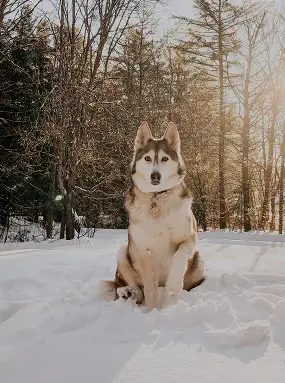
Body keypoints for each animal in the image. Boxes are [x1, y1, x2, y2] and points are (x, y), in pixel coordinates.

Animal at [98, 121, 203, 310]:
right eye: (147, 158)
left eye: (164, 159)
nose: (155, 175)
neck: (156, 197)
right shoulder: (144, 251)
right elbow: (149, 288)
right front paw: (153, 311)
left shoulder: (189, 238)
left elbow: (179, 256)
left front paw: (173, 286)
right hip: (124, 252)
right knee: (133, 287)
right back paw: (129, 292)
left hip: (199, 260)